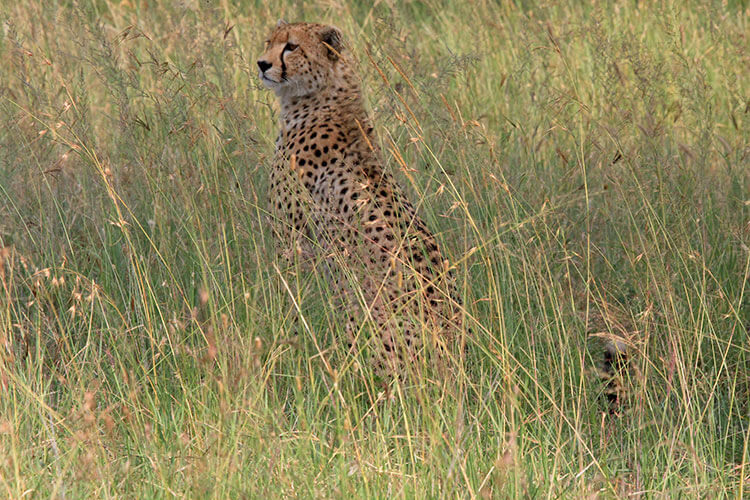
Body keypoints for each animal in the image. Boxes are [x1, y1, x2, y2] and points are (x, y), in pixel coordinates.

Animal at [258, 20, 464, 378]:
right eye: (270, 42)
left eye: (291, 47)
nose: (262, 64)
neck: (322, 96)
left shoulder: (291, 238)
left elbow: (287, 290)